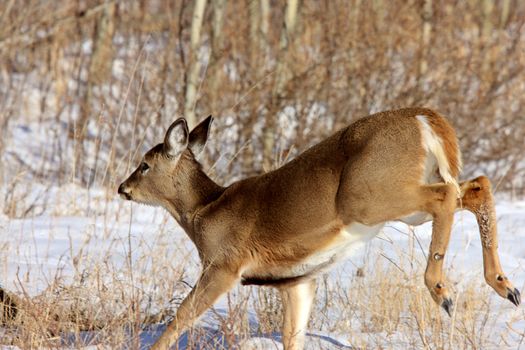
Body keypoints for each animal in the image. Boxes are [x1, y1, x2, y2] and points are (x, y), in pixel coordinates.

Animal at [118, 108, 520, 348]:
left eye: (145, 164)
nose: (123, 188)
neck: (205, 211)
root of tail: (424, 118)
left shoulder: (224, 265)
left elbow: (180, 317)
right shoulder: (296, 281)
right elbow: (292, 337)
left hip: (369, 196)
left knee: (448, 194)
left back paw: (442, 290)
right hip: (401, 201)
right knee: (476, 186)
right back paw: (506, 287)